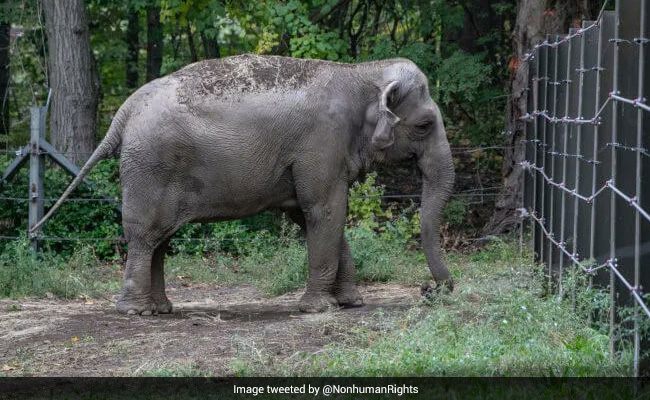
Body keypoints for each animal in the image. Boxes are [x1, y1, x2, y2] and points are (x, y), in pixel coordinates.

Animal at [32, 54, 455, 315]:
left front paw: (350, 303)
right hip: (149, 168)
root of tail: (124, 112)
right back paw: (137, 312)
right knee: (144, 235)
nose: (430, 290)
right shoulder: (321, 143)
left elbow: (311, 215)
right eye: (424, 125)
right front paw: (320, 308)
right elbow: (325, 210)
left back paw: (162, 309)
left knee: (160, 240)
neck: (360, 72)